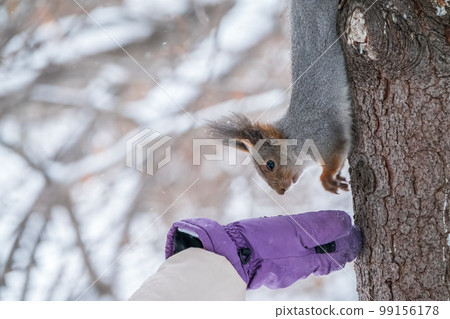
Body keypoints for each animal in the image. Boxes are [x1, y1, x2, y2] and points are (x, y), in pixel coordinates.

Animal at [207, 0, 352, 196]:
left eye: (270, 164)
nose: (281, 192)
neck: (293, 137)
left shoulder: (322, 134)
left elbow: (336, 152)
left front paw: (326, 179)